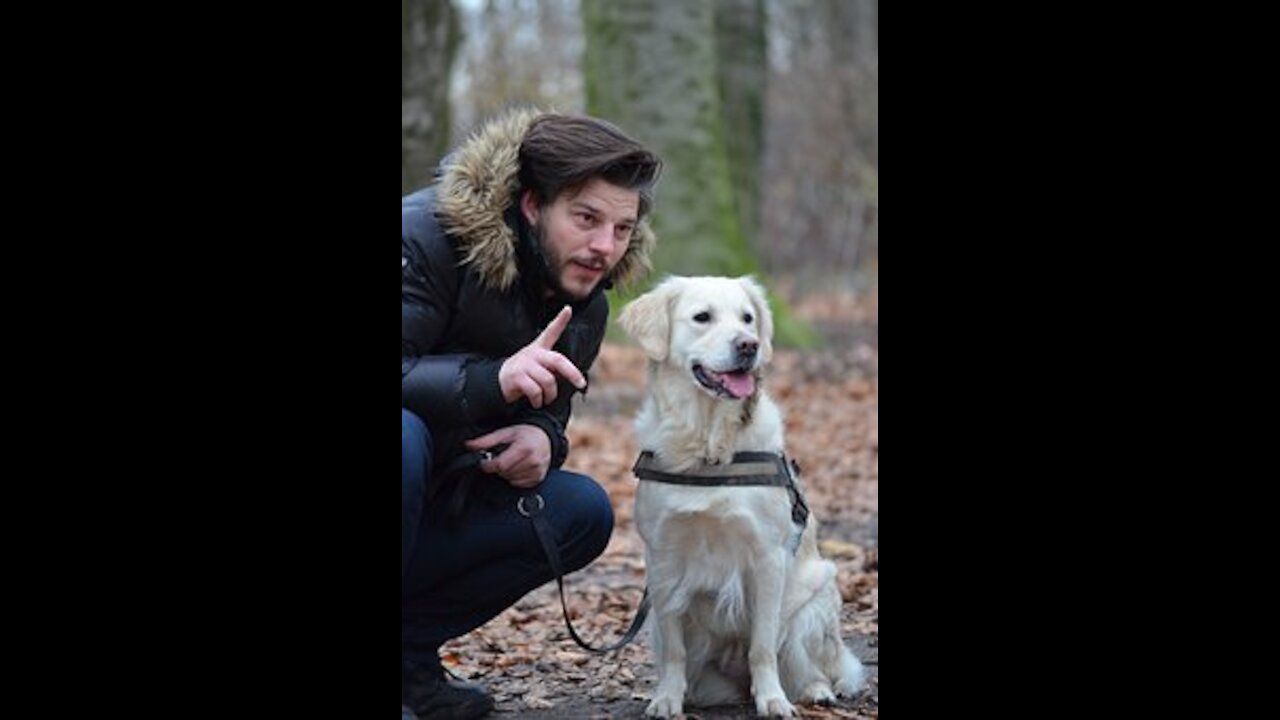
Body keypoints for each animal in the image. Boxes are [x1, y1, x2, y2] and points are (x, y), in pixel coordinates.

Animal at [614, 272, 865, 712]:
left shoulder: (767, 557)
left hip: (815, 601)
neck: (708, 449)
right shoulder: (662, 560)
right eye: (702, 317)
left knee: (810, 665)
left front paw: (773, 701)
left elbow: (762, 646)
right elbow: (675, 650)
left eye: (748, 319)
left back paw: (814, 690)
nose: (748, 345)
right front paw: (667, 699)